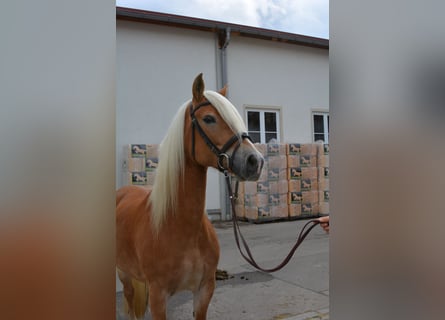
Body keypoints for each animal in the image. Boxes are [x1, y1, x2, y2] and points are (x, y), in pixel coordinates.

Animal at [116, 74, 266, 318]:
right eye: (209, 119)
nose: (255, 162)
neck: (180, 227)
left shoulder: (204, 289)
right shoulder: (158, 296)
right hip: (124, 273)